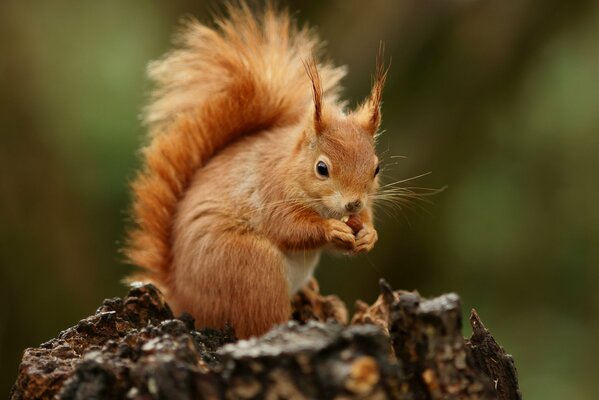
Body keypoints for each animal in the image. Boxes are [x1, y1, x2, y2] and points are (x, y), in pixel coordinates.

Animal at [126, 3, 390, 340]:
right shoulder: (270, 191)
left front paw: (368, 233)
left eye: (376, 167)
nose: (353, 203)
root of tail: (183, 299)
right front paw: (332, 229)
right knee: (261, 320)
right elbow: (288, 226)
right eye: (321, 168)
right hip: (252, 269)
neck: (290, 167)